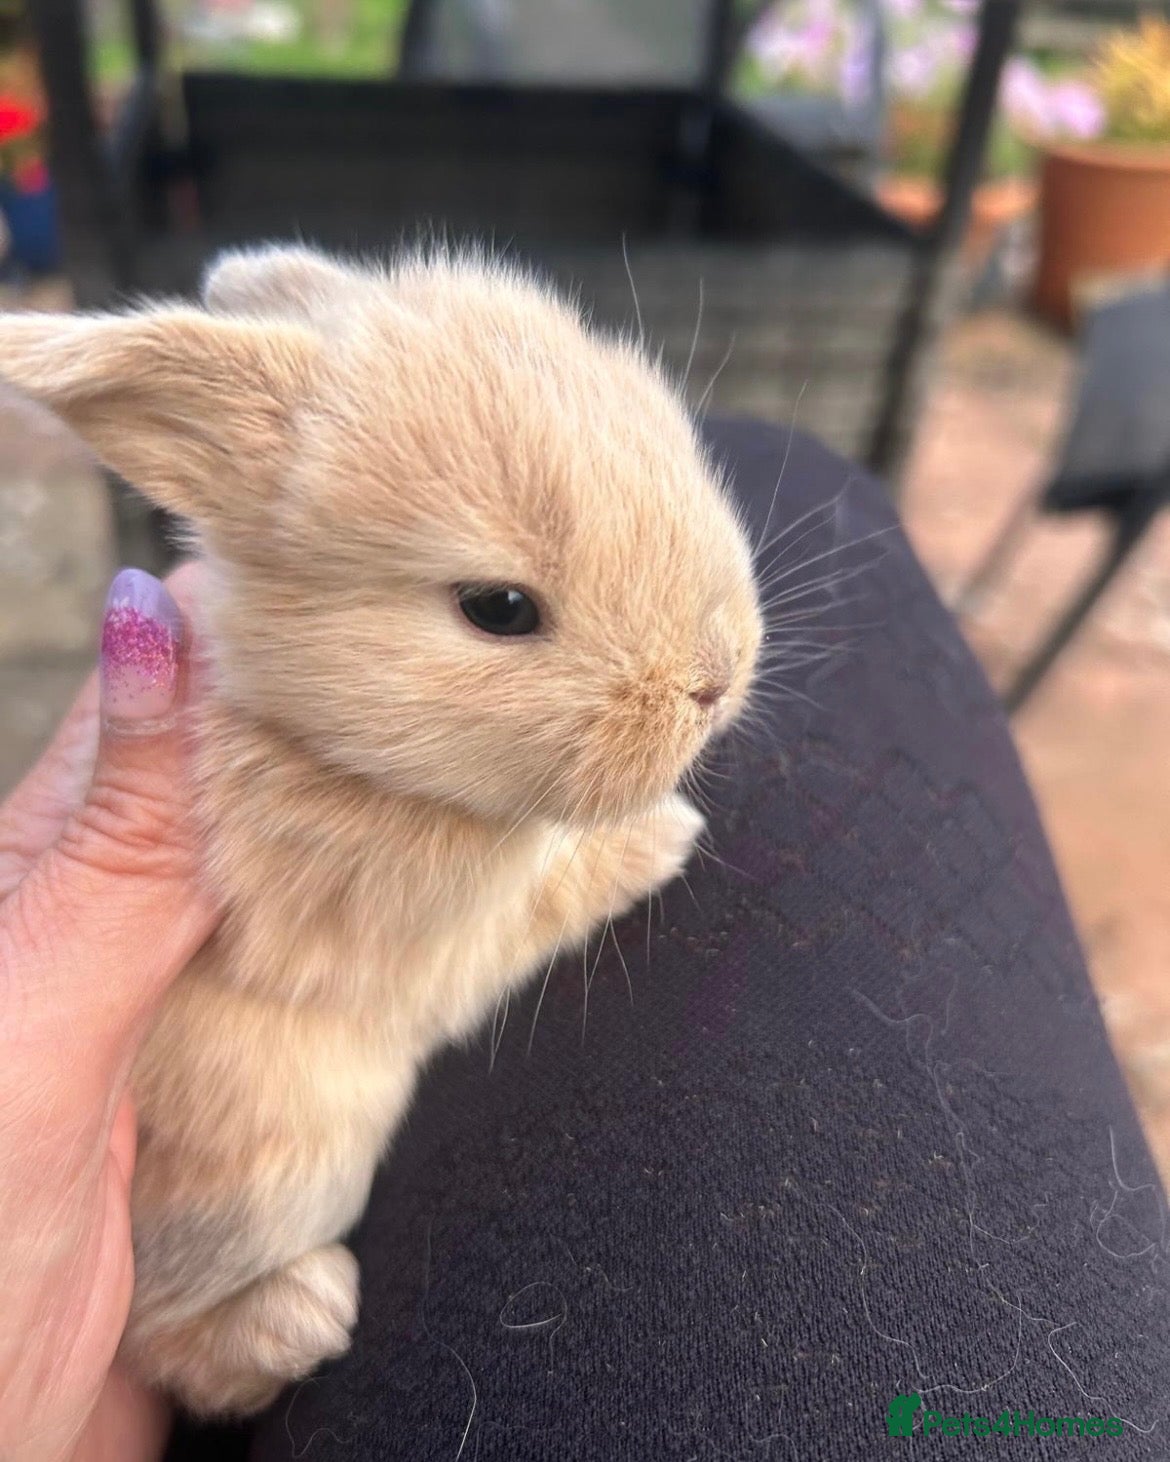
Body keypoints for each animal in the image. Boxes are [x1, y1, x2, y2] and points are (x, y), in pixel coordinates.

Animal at [0, 246, 762, 1417]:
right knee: (173, 1341)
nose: (714, 682)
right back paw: (306, 1311)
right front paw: (666, 835)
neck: (339, 751)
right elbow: (554, 891)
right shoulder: (438, 938)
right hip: (270, 1177)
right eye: (497, 607)